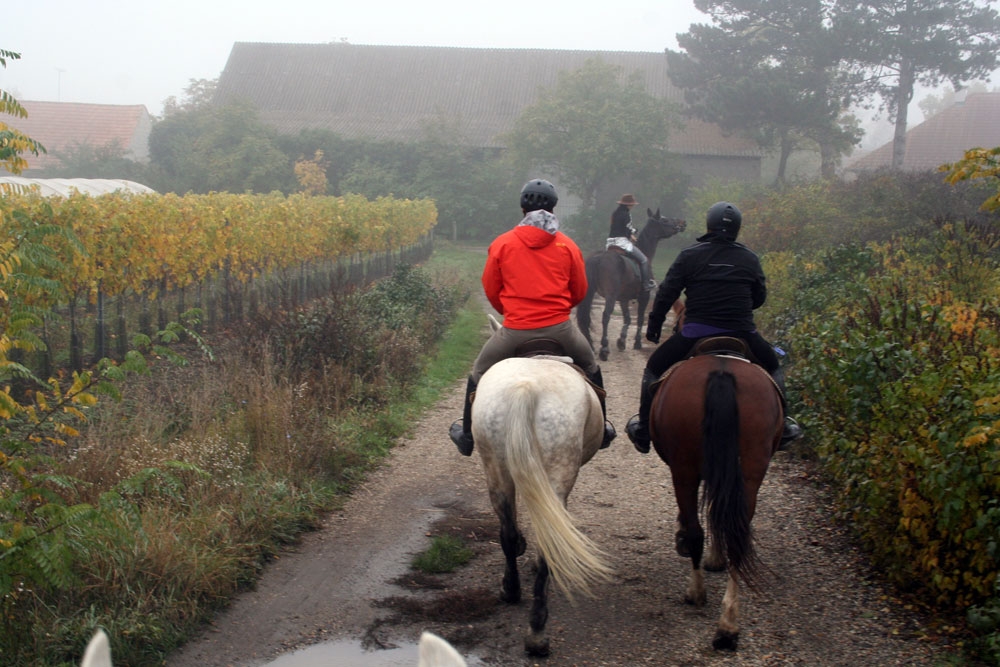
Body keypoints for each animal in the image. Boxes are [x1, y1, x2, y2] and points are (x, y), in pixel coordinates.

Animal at [580, 211, 688, 362]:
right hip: (610, 295)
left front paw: (621, 341)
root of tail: (599, 258)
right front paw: (637, 342)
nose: (682, 223)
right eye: (664, 220)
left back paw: (590, 345)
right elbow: (641, 319)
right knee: (606, 316)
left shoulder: (624, 299)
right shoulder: (644, 297)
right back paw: (604, 349)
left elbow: (628, 318)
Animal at [644, 348, 784, 648]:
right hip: (750, 471)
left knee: (699, 531)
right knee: (737, 536)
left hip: (684, 469)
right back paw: (728, 626)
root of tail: (722, 371)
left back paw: (697, 593)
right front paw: (716, 557)